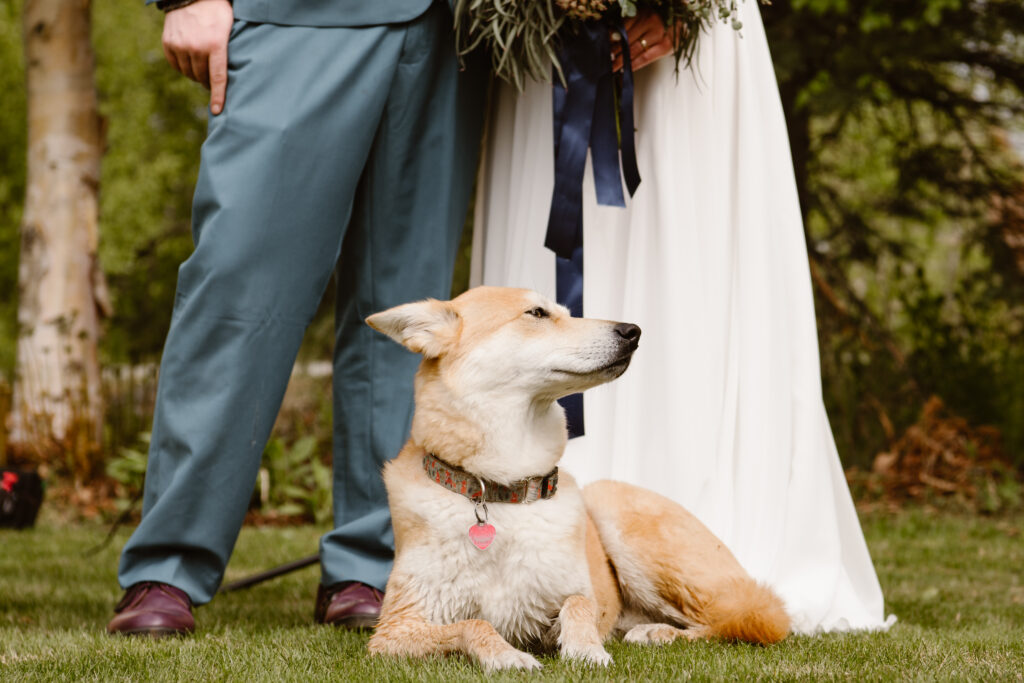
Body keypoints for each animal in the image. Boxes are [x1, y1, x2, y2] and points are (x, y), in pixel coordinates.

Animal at [364, 286, 786, 671]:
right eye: (537, 313)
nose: (633, 330)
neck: (503, 490)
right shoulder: (393, 630)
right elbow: (475, 624)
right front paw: (506, 655)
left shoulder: (572, 595)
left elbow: (580, 605)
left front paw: (587, 650)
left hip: (617, 514)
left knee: (749, 621)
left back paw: (657, 632)